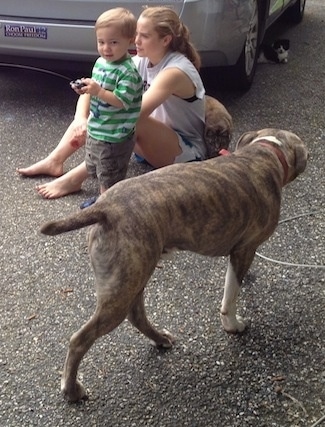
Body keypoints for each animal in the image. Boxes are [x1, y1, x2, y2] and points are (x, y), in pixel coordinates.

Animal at [40, 129, 306, 402]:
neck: (265, 151)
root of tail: (105, 207)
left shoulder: (241, 251)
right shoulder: (244, 248)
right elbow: (230, 297)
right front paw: (233, 325)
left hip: (133, 276)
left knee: (136, 315)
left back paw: (160, 339)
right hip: (122, 290)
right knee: (80, 339)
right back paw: (72, 389)